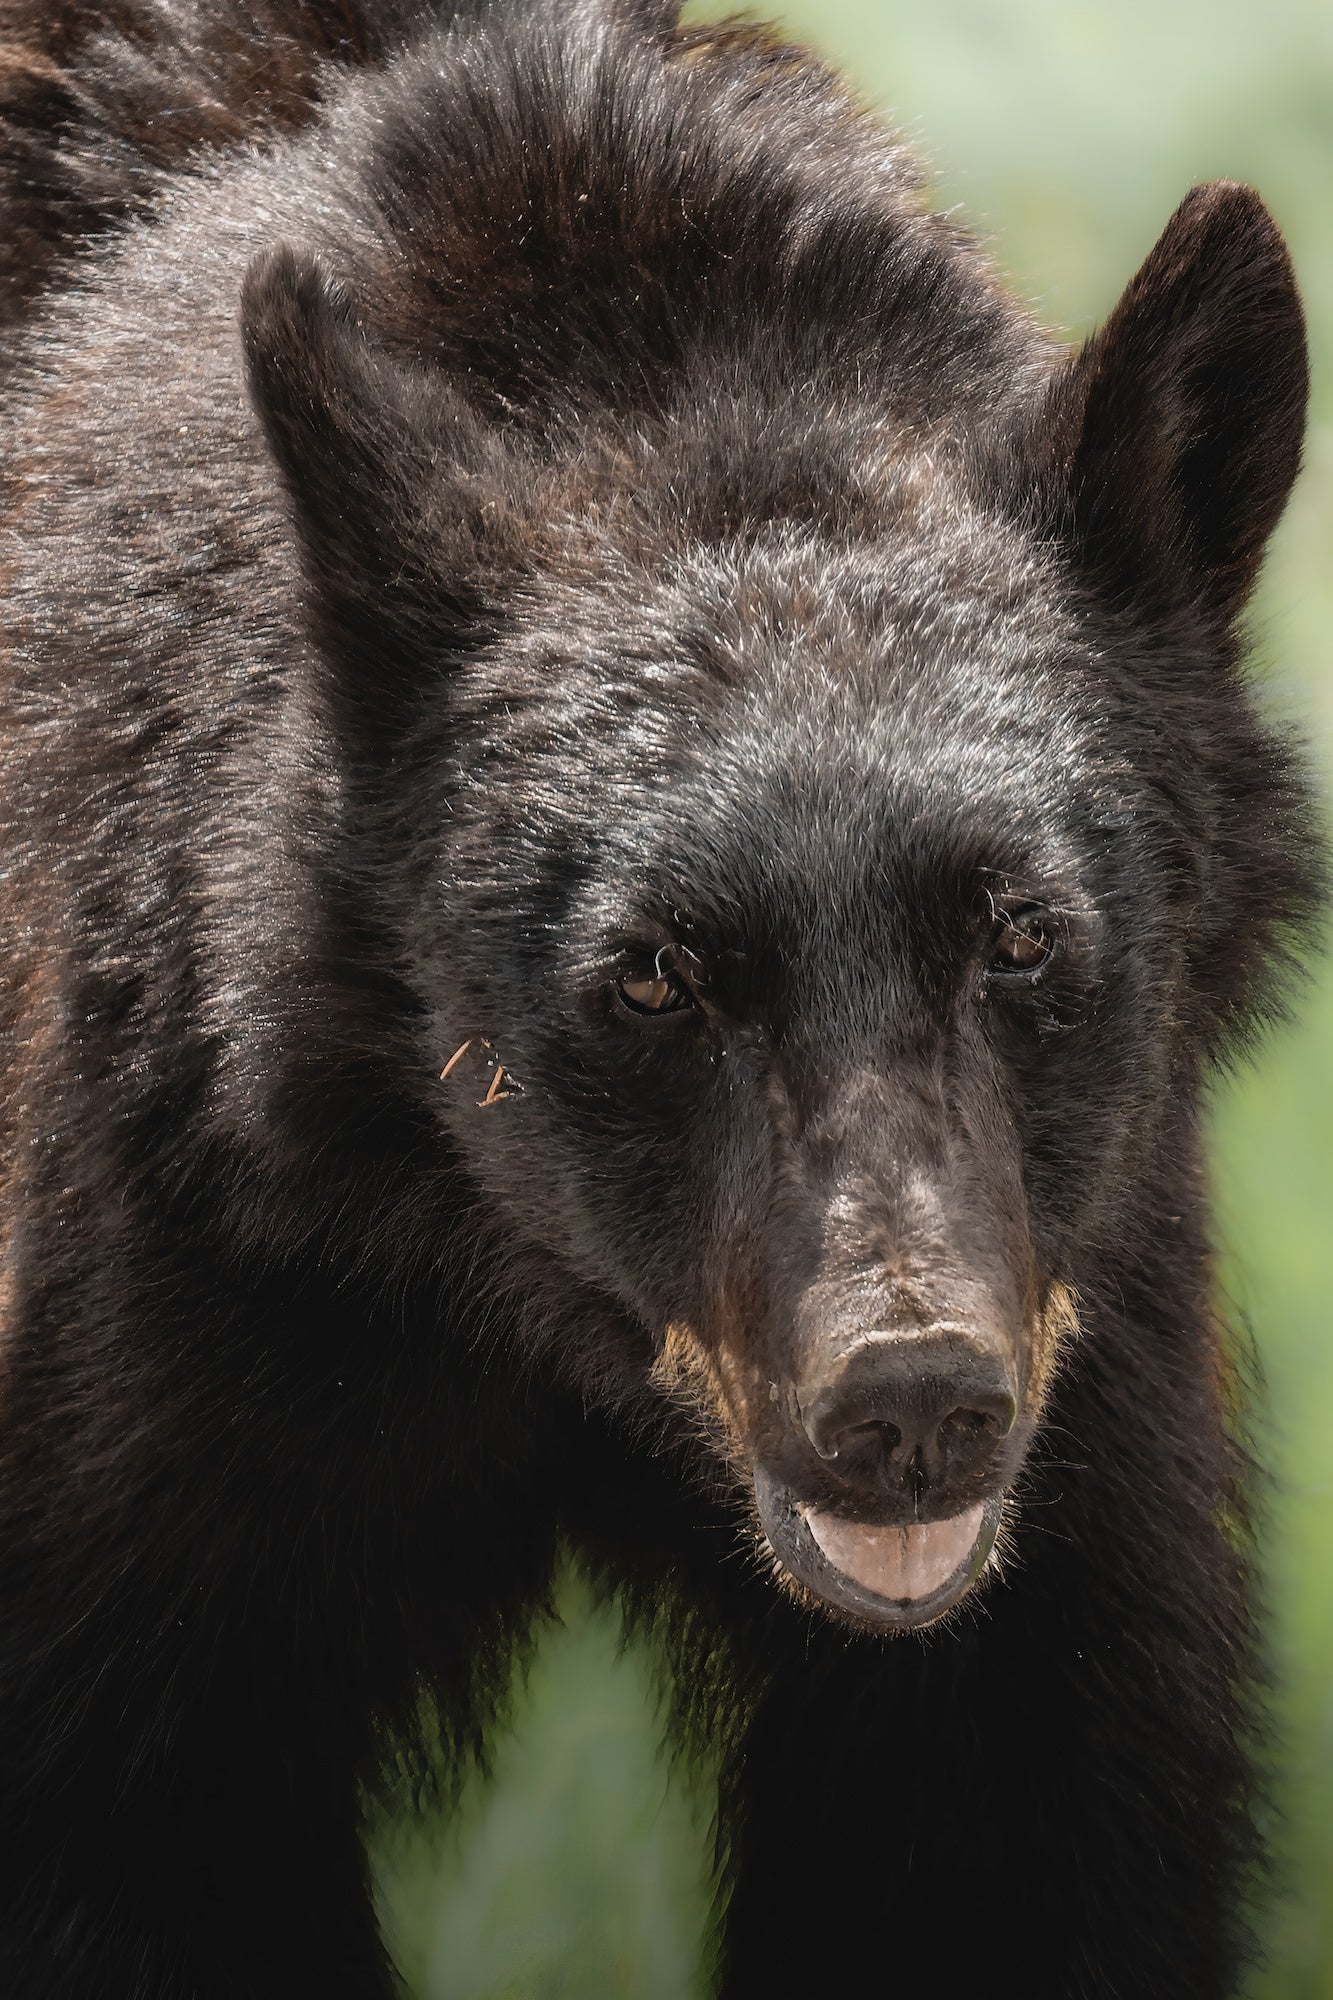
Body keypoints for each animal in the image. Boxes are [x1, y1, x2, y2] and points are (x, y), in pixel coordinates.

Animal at [0, 1, 1319, 1995]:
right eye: (651, 976)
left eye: (1019, 935)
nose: (910, 1406)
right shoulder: (160, 1317)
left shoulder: (1085, 1367)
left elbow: (1014, 1833)